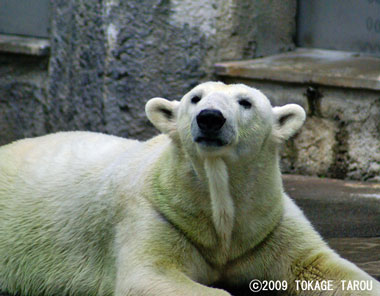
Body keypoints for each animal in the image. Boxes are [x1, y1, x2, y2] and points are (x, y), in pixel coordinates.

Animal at [0, 81, 378, 296]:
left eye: (245, 102)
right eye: (195, 98)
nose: (210, 117)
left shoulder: (267, 224)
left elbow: (320, 266)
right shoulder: (157, 214)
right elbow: (148, 276)